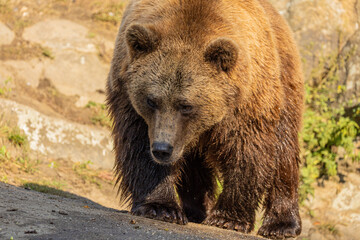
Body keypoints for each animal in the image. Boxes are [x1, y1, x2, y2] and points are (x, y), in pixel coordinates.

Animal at [106, 0, 304, 238]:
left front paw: (228, 218)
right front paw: (161, 207)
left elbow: (247, 150)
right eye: (152, 100)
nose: (162, 149)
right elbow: (139, 145)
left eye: (186, 105)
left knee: (284, 151)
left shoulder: (247, 100)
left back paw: (281, 224)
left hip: (285, 81)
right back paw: (196, 208)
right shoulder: (129, 95)